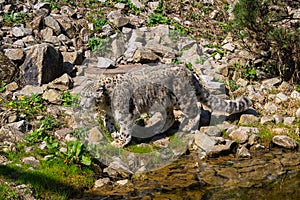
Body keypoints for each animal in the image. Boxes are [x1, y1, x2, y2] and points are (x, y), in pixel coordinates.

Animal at [79, 64, 251, 147]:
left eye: (87, 97)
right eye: (81, 95)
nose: (81, 104)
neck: (106, 104)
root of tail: (188, 71)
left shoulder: (125, 113)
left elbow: (125, 130)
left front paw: (119, 141)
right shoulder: (110, 113)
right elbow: (107, 121)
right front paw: (113, 132)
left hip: (182, 99)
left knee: (194, 111)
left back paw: (187, 127)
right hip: (164, 103)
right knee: (171, 117)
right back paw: (158, 130)